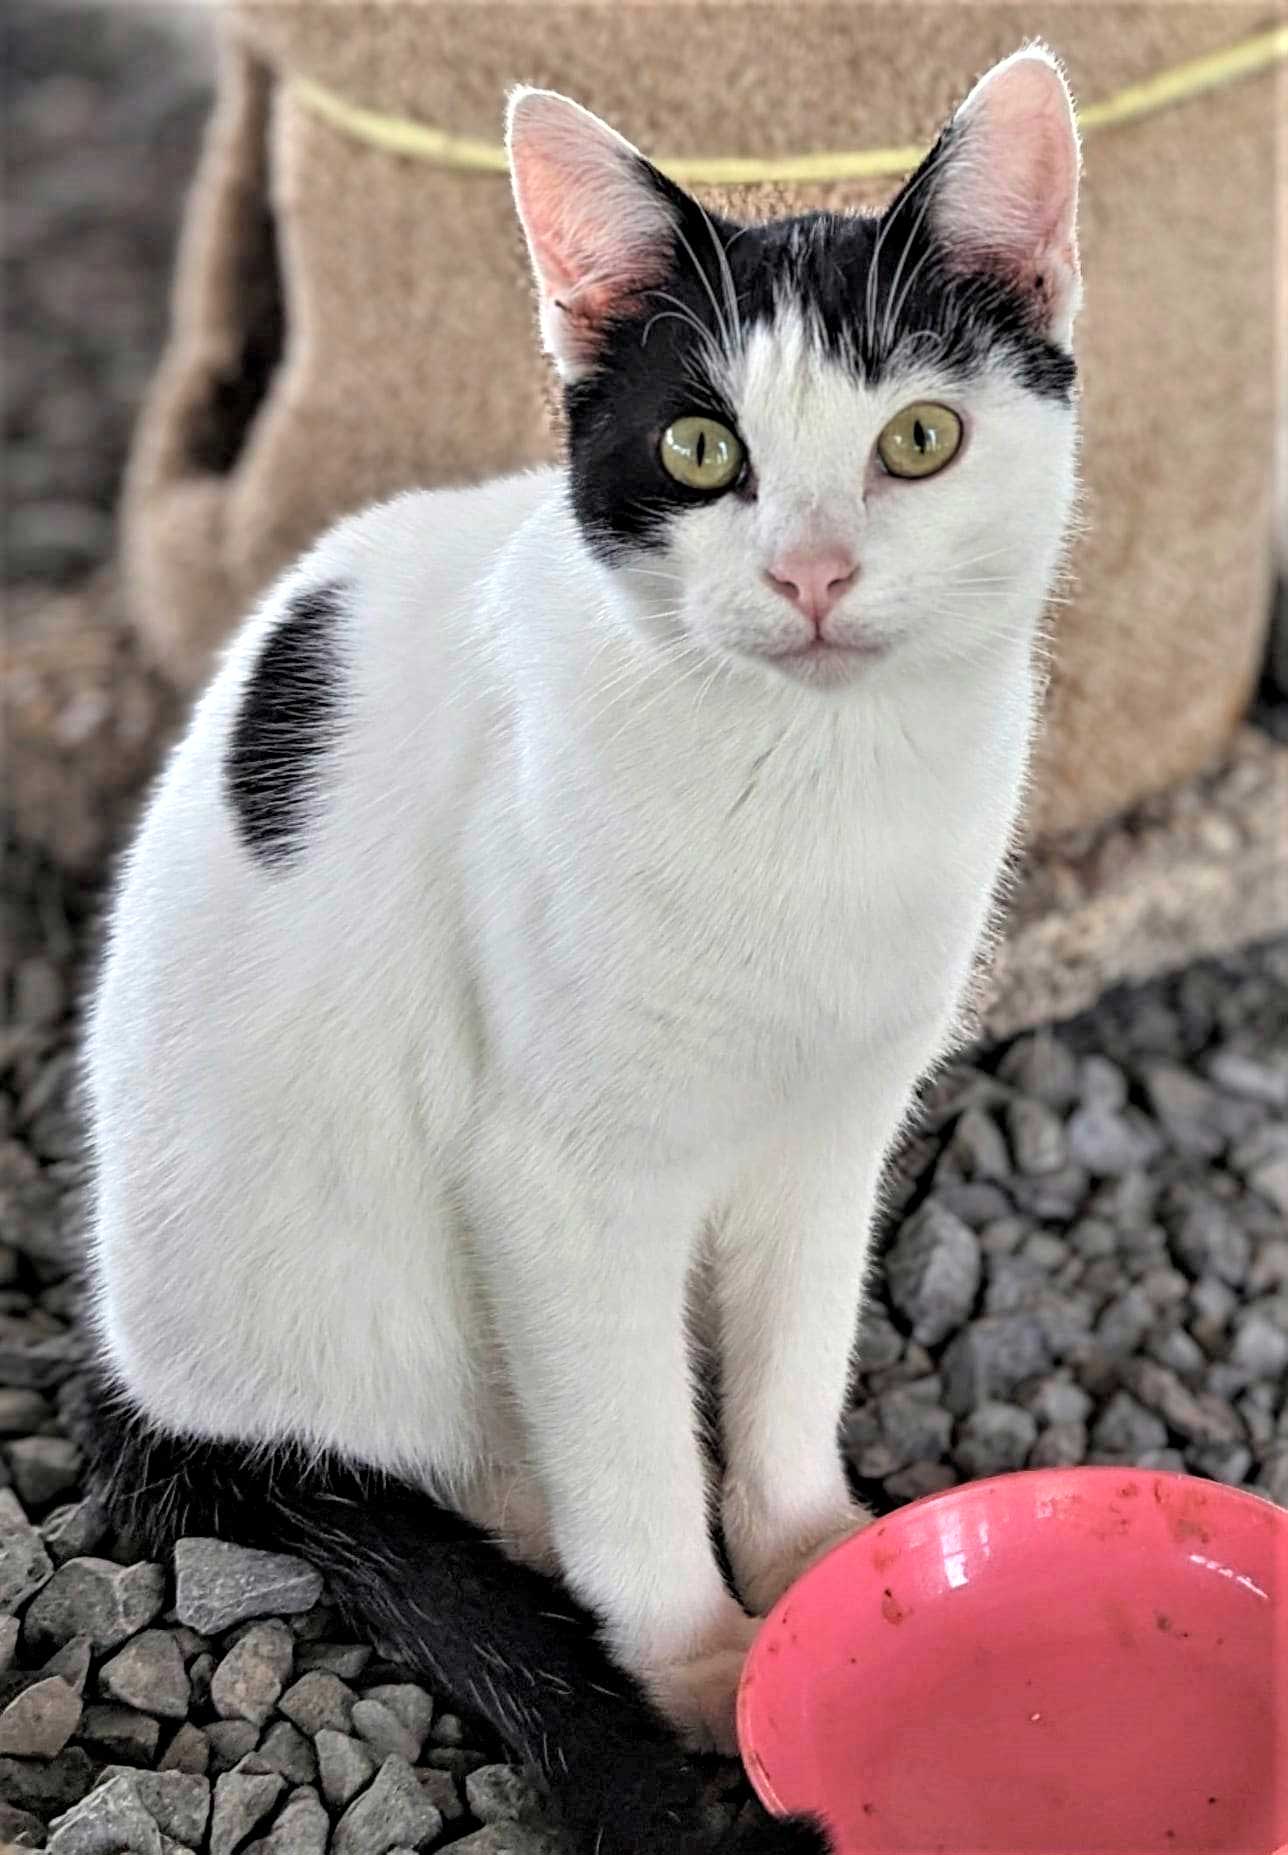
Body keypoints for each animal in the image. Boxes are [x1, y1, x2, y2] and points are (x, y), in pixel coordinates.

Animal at [80, 43, 1083, 1855]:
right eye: (697, 447)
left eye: (918, 439)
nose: (811, 572)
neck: (811, 787)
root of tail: (137, 1374)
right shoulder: (555, 1176)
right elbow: (622, 1439)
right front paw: (699, 1666)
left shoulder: (833, 1126)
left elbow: (791, 1357)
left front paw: (809, 1554)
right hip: (341, 1288)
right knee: (457, 1446)